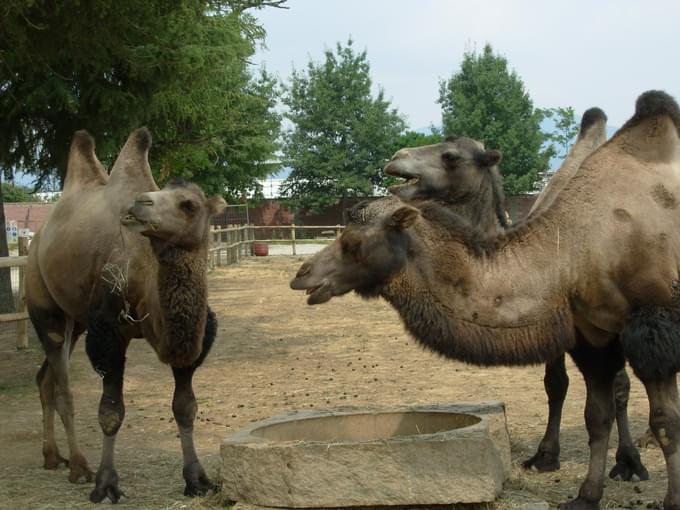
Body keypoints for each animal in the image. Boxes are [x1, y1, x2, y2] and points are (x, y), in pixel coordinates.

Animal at [26, 127, 226, 502]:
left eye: (189, 205)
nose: (139, 205)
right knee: (63, 388)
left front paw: (196, 478)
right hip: (44, 305)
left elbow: (185, 406)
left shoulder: (192, 341)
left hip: (77, 321)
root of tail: (37, 239)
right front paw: (106, 484)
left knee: (46, 379)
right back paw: (80, 467)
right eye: (159, 193)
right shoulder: (108, 332)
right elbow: (110, 411)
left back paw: (52, 457)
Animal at [292, 91, 680, 510]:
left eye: (353, 242)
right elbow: (597, 415)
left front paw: (668, 496)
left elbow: (666, 422)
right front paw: (585, 496)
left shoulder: (653, 329)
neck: (577, 247)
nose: (303, 273)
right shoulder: (593, 335)